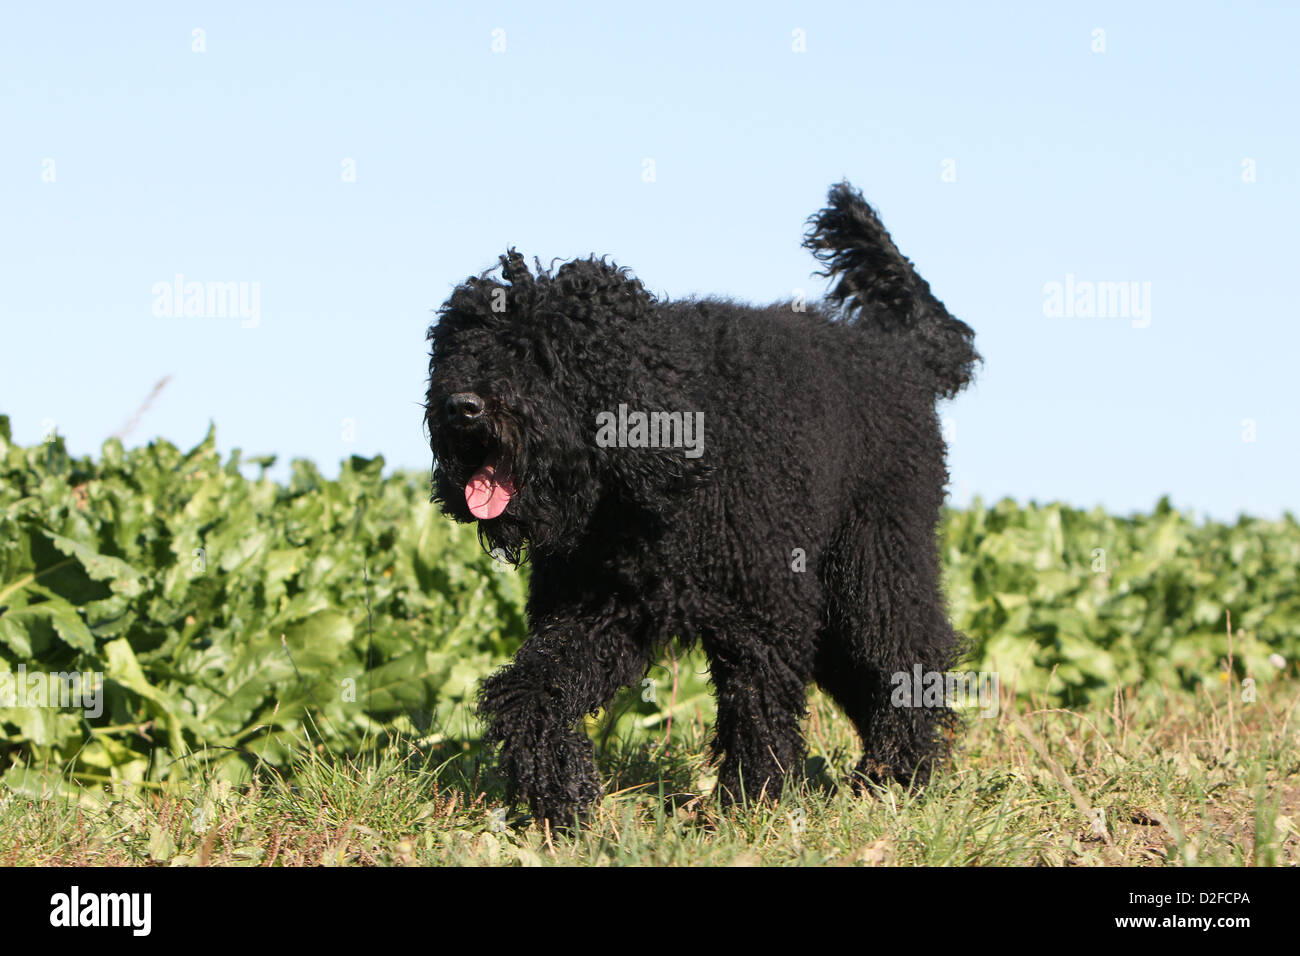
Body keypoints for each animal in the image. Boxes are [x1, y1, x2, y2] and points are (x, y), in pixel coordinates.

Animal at [426, 183, 977, 827]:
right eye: (459, 349)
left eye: (541, 355)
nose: (460, 407)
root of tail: (902, 356)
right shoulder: (602, 610)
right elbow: (535, 689)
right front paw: (562, 794)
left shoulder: (764, 611)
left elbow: (758, 711)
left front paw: (752, 803)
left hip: (875, 562)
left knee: (907, 654)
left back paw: (900, 773)